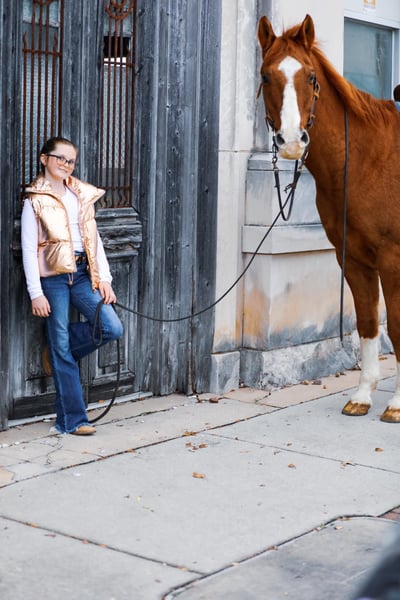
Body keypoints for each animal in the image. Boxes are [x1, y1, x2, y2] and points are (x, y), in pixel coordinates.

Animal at [258, 14, 400, 423]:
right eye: (266, 77)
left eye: (310, 77)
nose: (292, 142)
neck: (368, 160)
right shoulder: (353, 259)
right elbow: (367, 324)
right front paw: (363, 394)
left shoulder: (393, 258)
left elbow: (397, 324)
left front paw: (397, 404)